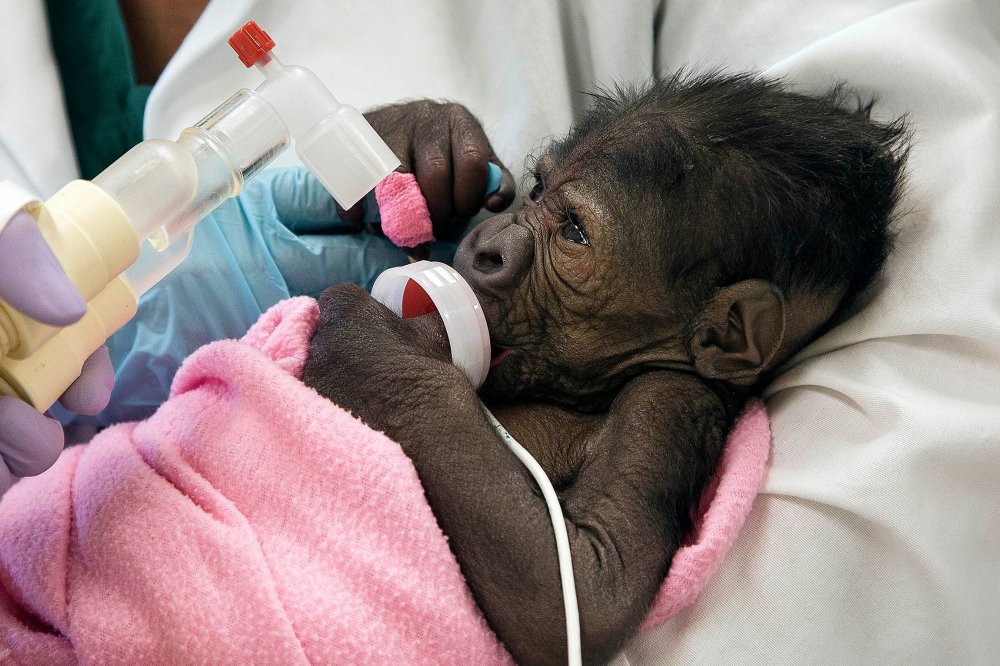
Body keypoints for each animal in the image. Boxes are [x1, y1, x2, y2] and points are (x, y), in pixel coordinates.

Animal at [303, 71, 909, 665]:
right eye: (538, 189)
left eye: (575, 232)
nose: (485, 246)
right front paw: (421, 137)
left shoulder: (667, 403)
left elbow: (584, 589)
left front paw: (367, 344)